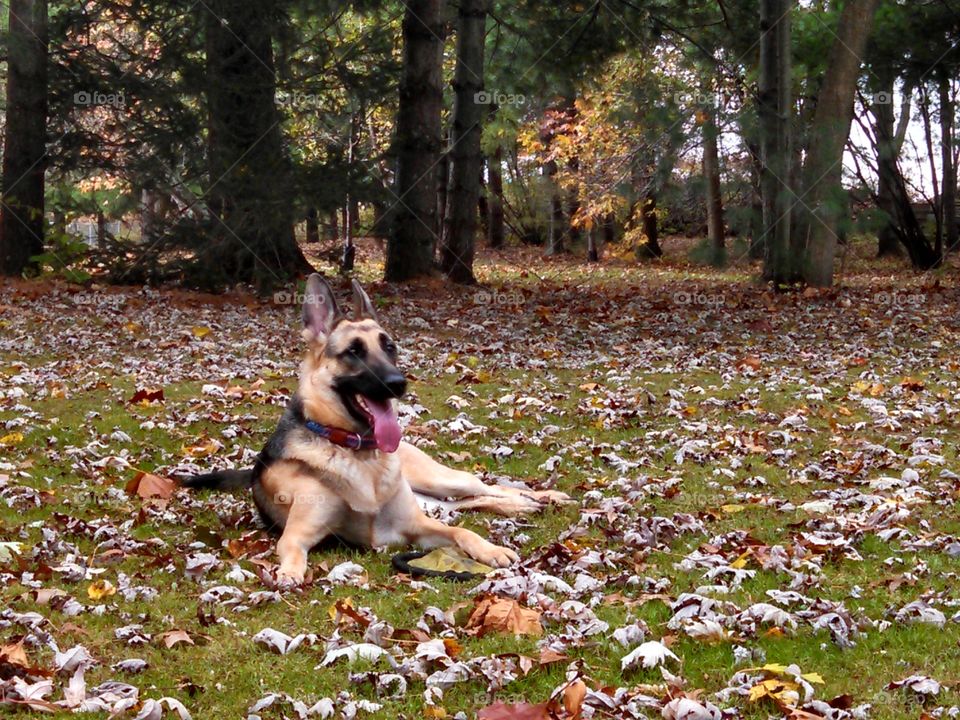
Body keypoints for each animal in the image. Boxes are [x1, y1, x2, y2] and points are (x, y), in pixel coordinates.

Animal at [184, 274, 568, 584]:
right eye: (353, 352)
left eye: (390, 347)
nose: (398, 384)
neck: (356, 452)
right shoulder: (300, 533)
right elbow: (291, 550)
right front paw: (290, 574)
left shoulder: (417, 526)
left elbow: (462, 532)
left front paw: (491, 550)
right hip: (433, 496)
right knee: (470, 502)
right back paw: (523, 506)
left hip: (438, 480)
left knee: (486, 488)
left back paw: (537, 499)